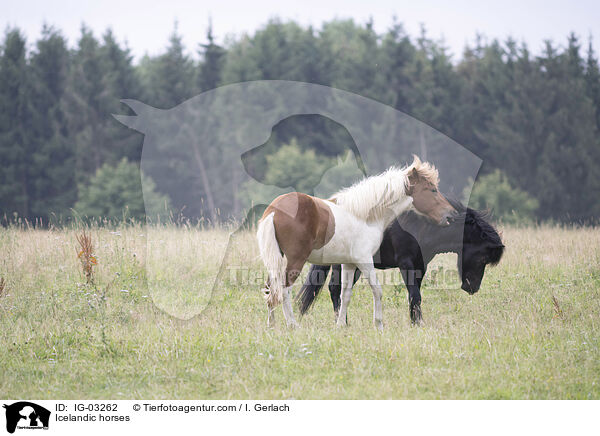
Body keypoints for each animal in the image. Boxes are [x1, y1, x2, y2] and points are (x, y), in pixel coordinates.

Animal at [255, 155, 458, 328]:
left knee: (270, 290)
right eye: (432, 190)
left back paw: (271, 325)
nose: (451, 215)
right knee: (284, 290)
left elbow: (345, 293)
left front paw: (341, 325)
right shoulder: (365, 260)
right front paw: (379, 325)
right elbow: (377, 290)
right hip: (295, 260)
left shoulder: (349, 263)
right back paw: (292, 325)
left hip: (277, 259)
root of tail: (274, 210)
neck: (364, 215)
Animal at [298, 200, 504, 324]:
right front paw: (417, 324)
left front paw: (416, 322)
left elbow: (415, 296)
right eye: (483, 258)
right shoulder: (407, 264)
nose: (472, 288)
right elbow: (415, 295)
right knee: (335, 289)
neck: (423, 224)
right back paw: (343, 322)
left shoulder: (421, 265)